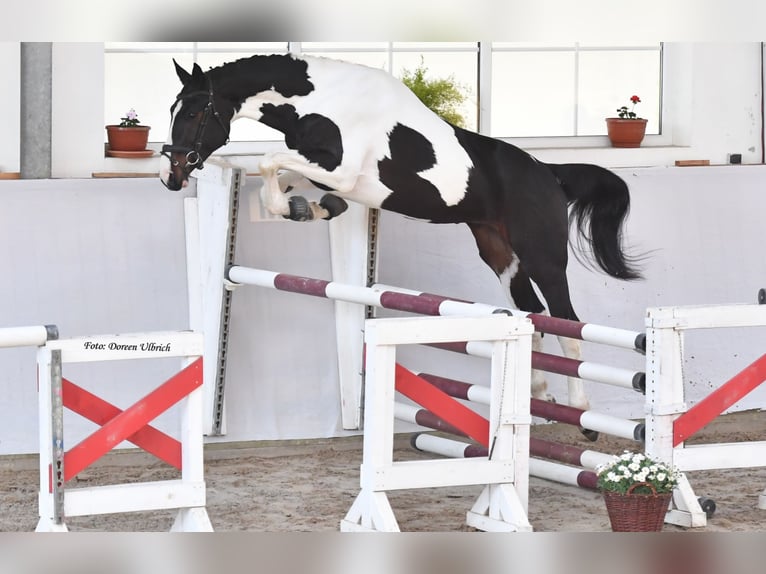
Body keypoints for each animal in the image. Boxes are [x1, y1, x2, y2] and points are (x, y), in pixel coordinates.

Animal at [160, 53, 642, 416]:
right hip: (500, 253)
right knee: (533, 316)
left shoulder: (340, 168)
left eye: (196, 111)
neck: (324, 99)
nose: (172, 175)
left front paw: (302, 207)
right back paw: (538, 396)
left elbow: (268, 161)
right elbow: (282, 179)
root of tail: (550, 174)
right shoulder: (330, 173)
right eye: (171, 111)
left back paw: (580, 411)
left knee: (567, 322)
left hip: (543, 255)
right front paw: (308, 209)